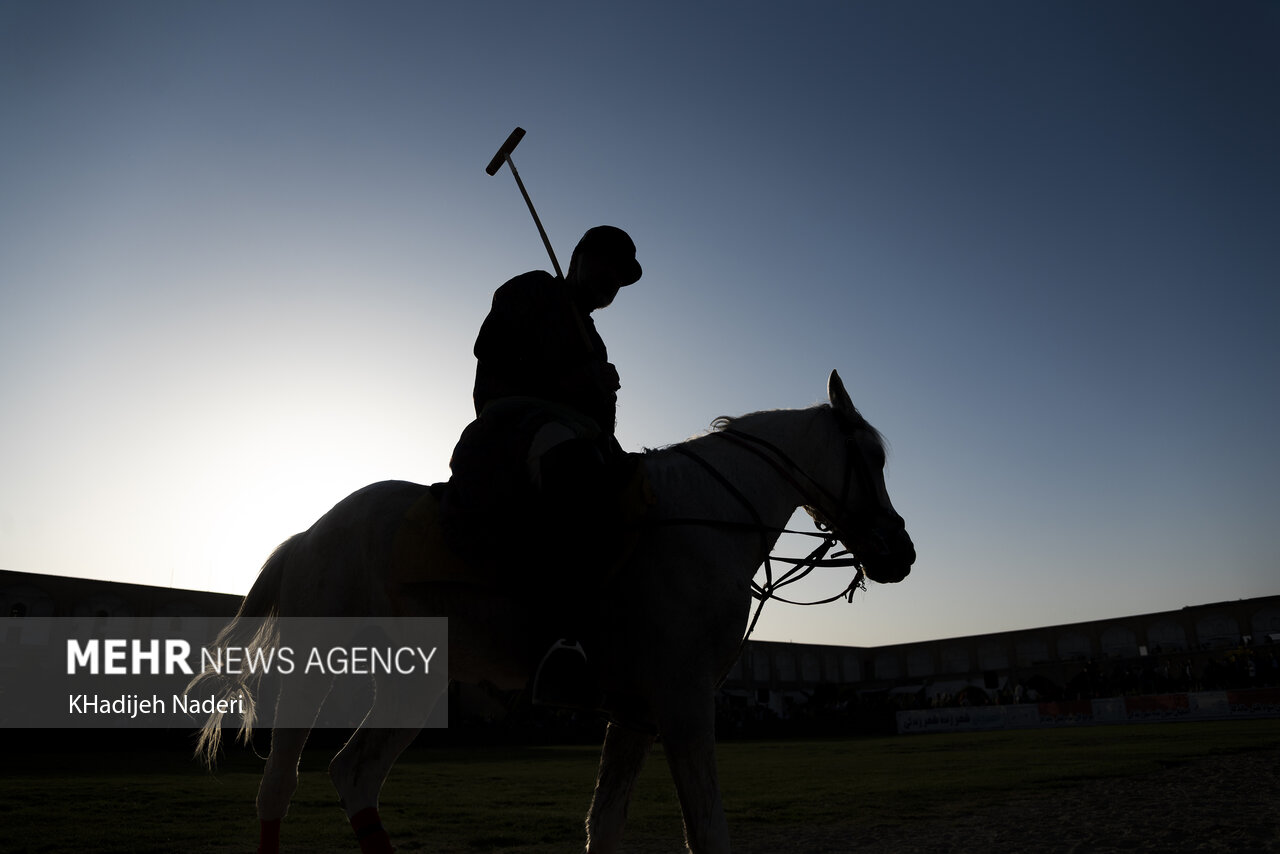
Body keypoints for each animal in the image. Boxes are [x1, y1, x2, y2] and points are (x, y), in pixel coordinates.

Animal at [194, 371, 916, 854]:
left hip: (414, 687)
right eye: (875, 458)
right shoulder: (682, 700)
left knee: (355, 776)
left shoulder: (636, 711)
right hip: (313, 676)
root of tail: (308, 536)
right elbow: (707, 830)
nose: (900, 552)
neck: (703, 519)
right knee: (279, 786)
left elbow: (606, 823)